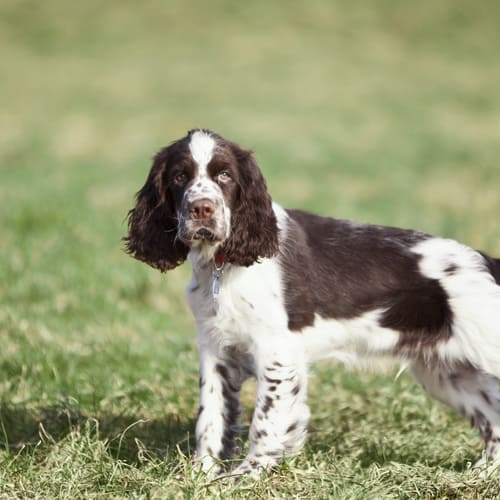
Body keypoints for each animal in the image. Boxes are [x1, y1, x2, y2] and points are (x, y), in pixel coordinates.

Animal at [124, 128, 500, 476]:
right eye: (179, 176)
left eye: (225, 175)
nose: (202, 209)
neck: (223, 263)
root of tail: (488, 262)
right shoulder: (216, 348)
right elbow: (211, 417)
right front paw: (201, 476)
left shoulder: (276, 352)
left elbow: (264, 420)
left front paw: (248, 475)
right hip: (449, 373)